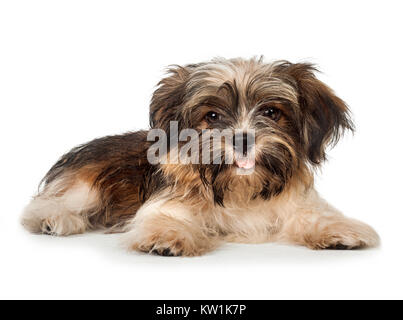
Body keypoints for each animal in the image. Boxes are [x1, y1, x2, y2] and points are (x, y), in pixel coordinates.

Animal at [21, 57, 382, 256]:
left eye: (271, 112)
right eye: (212, 116)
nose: (243, 138)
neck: (241, 189)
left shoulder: (297, 205)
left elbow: (311, 216)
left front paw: (338, 231)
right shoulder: (167, 204)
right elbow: (165, 219)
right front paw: (166, 238)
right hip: (86, 184)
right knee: (44, 205)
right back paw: (54, 220)